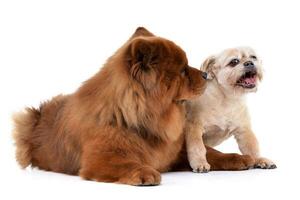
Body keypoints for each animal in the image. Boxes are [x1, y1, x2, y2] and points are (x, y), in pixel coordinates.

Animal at [12, 27, 254, 185]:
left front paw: (240, 158)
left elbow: (211, 152)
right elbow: (125, 163)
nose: (205, 75)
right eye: (183, 70)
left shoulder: (176, 151)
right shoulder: (100, 159)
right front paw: (145, 173)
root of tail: (38, 115)